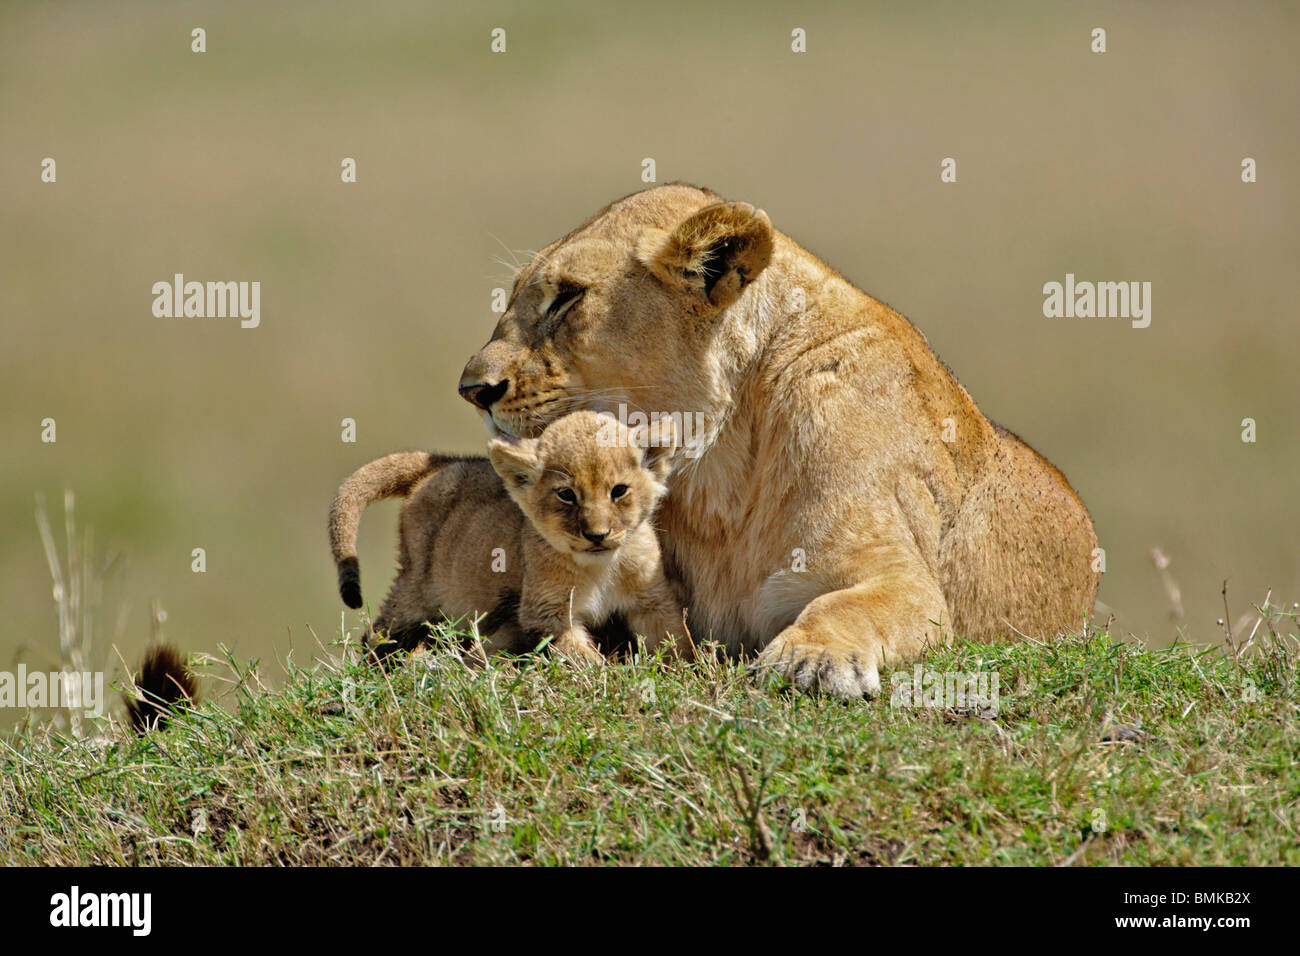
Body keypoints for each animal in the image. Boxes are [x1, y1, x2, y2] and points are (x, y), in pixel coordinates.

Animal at [328, 410, 685, 663]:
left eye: (619, 491)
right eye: (566, 495)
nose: (597, 535)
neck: (601, 567)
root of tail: (443, 462)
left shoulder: (653, 601)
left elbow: (674, 640)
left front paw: (682, 669)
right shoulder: (545, 613)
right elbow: (581, 656)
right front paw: (605, 677)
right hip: (418, 590)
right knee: (380, 633)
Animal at [457, 183, 1100, 698]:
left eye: (567, 297)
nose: (472, 390)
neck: (717, 468)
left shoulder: (900, 575)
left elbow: (848, 603)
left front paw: (811, 659)